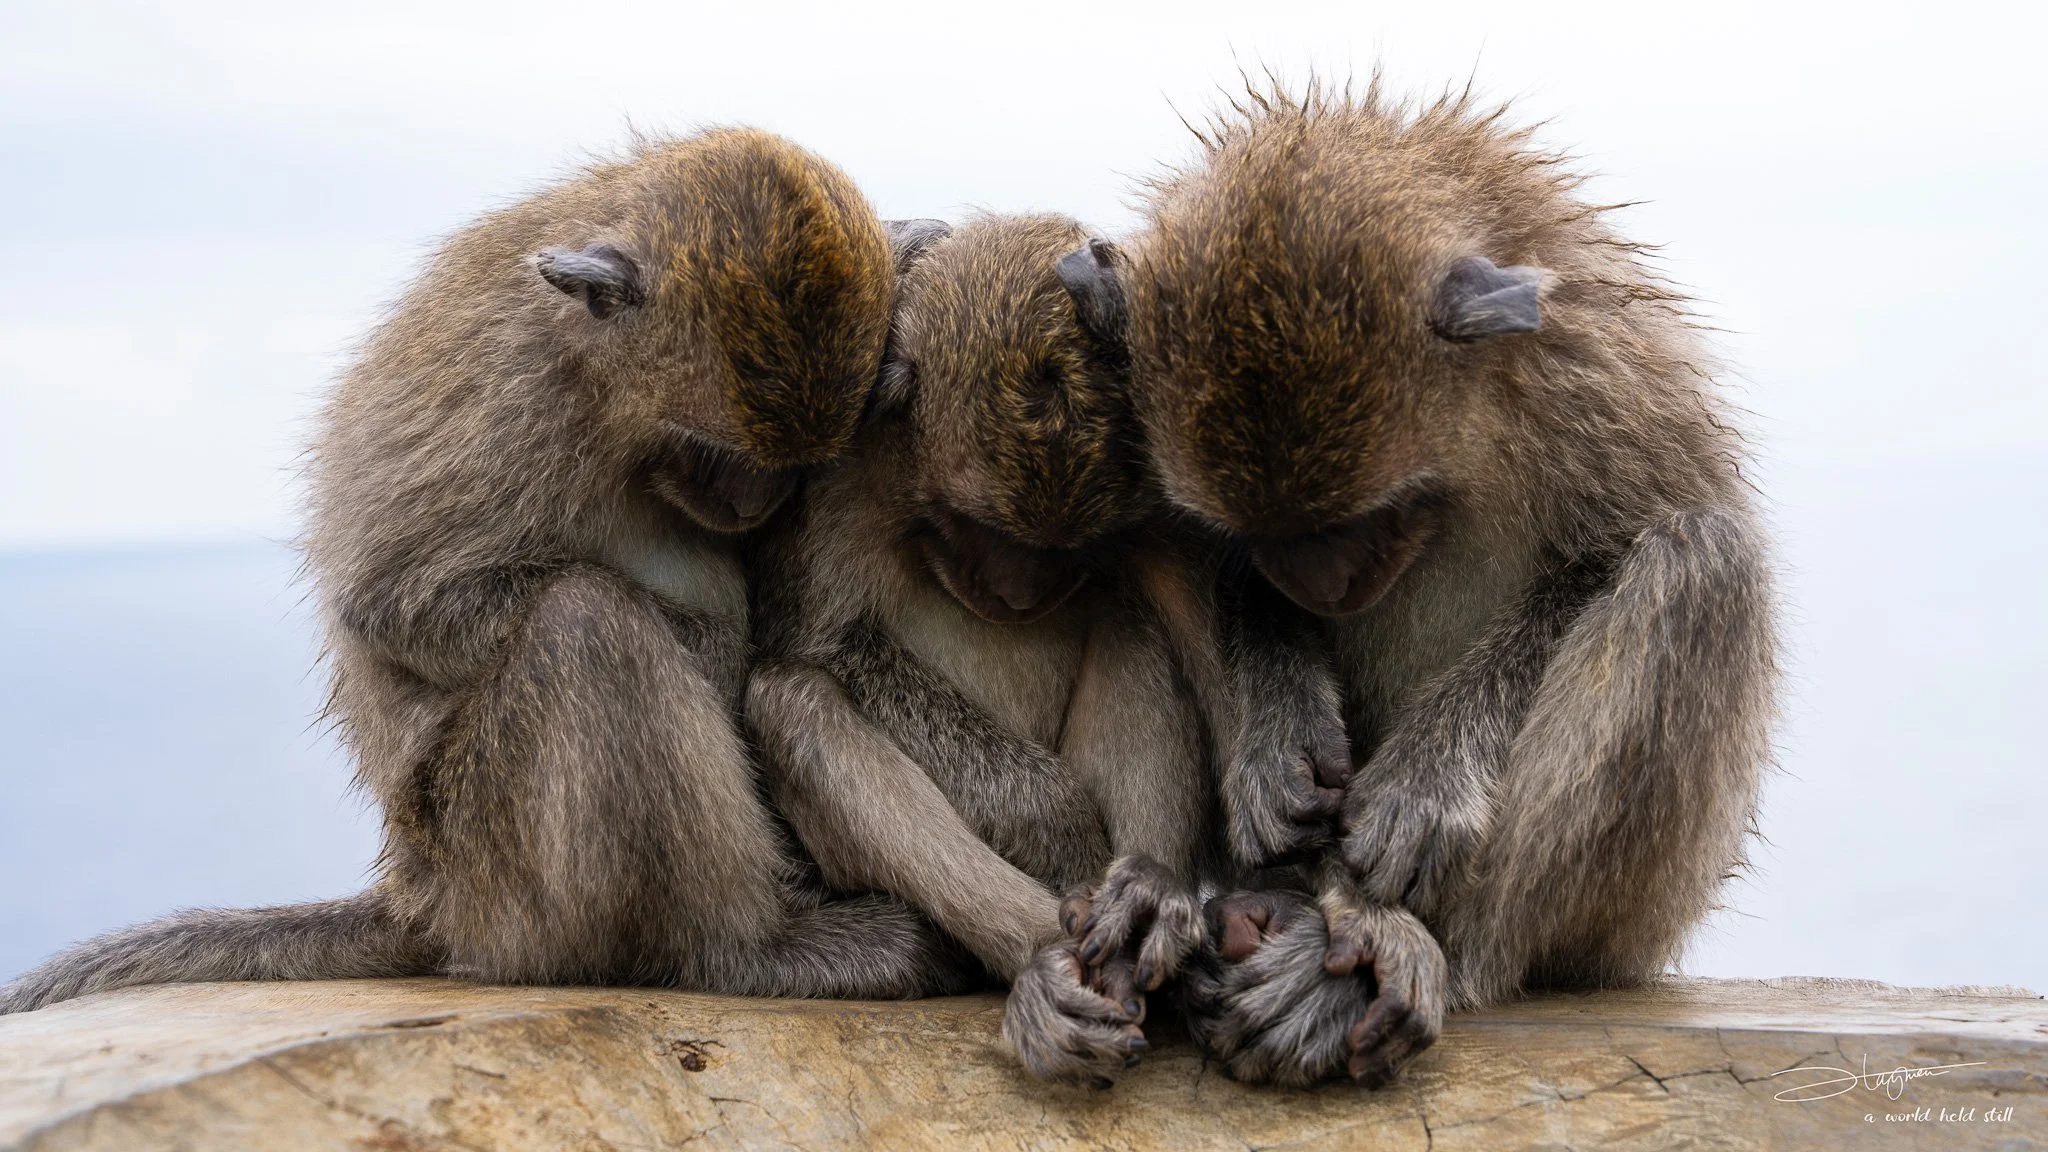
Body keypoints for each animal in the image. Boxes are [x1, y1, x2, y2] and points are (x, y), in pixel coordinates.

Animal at [0, 129, 976, 1015]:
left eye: (802, 466)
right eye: (712, 452)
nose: (752, 504)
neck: (598, 379)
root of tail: (421, 890)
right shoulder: (514, 396)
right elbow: (397, 602)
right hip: (491, 859)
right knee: (586, 622)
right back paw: (735, 950)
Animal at [744, 213, 1214, 1087]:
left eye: (1073, 545)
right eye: (976, 527)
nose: (1019, 596)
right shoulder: (842, 459)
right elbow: (821, 642)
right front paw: (1056, 819)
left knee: (1134, 623)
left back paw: (1145, 905)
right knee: (794, 702)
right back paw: (1043, 965)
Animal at [1055, 79, 1778, 1087]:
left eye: (1382, 513)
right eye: (1258, 532)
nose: (1320, 584)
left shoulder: (1597, 376)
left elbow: (1616, 549)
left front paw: (1426, 781)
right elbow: (1211, 568)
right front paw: (1280, 728)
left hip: (1634, 919)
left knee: (1703, 563)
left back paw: (1410, 950)